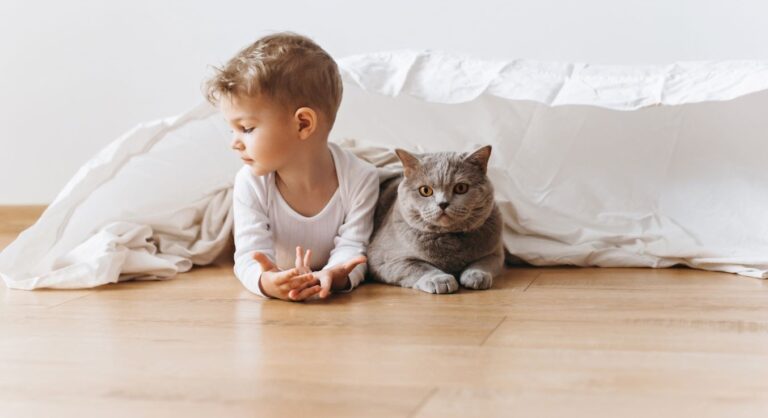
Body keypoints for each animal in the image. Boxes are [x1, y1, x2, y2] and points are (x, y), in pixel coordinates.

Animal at [366, 145, 504, 292]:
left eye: (461, 188)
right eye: (425, 190)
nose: (443, 203)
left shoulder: (496, 253)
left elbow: (484, 262)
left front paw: (476, 275)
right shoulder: (383, 259)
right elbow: (418, 266)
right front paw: (439, 280)